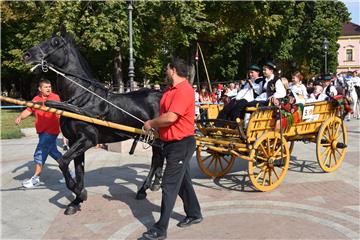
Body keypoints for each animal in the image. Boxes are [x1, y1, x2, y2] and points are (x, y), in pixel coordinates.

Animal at [24, 27, 166, 215]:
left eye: (55, 42)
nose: (27, 55)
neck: (81, 101)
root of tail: (161, 94)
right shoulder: (75, 141)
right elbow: (79, 170)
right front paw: (75, 201)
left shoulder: (87, 140)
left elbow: (63, 162)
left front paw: (80, 192)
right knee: (158, 158)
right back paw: (153, 185)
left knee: (157, 159)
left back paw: (145, 189)